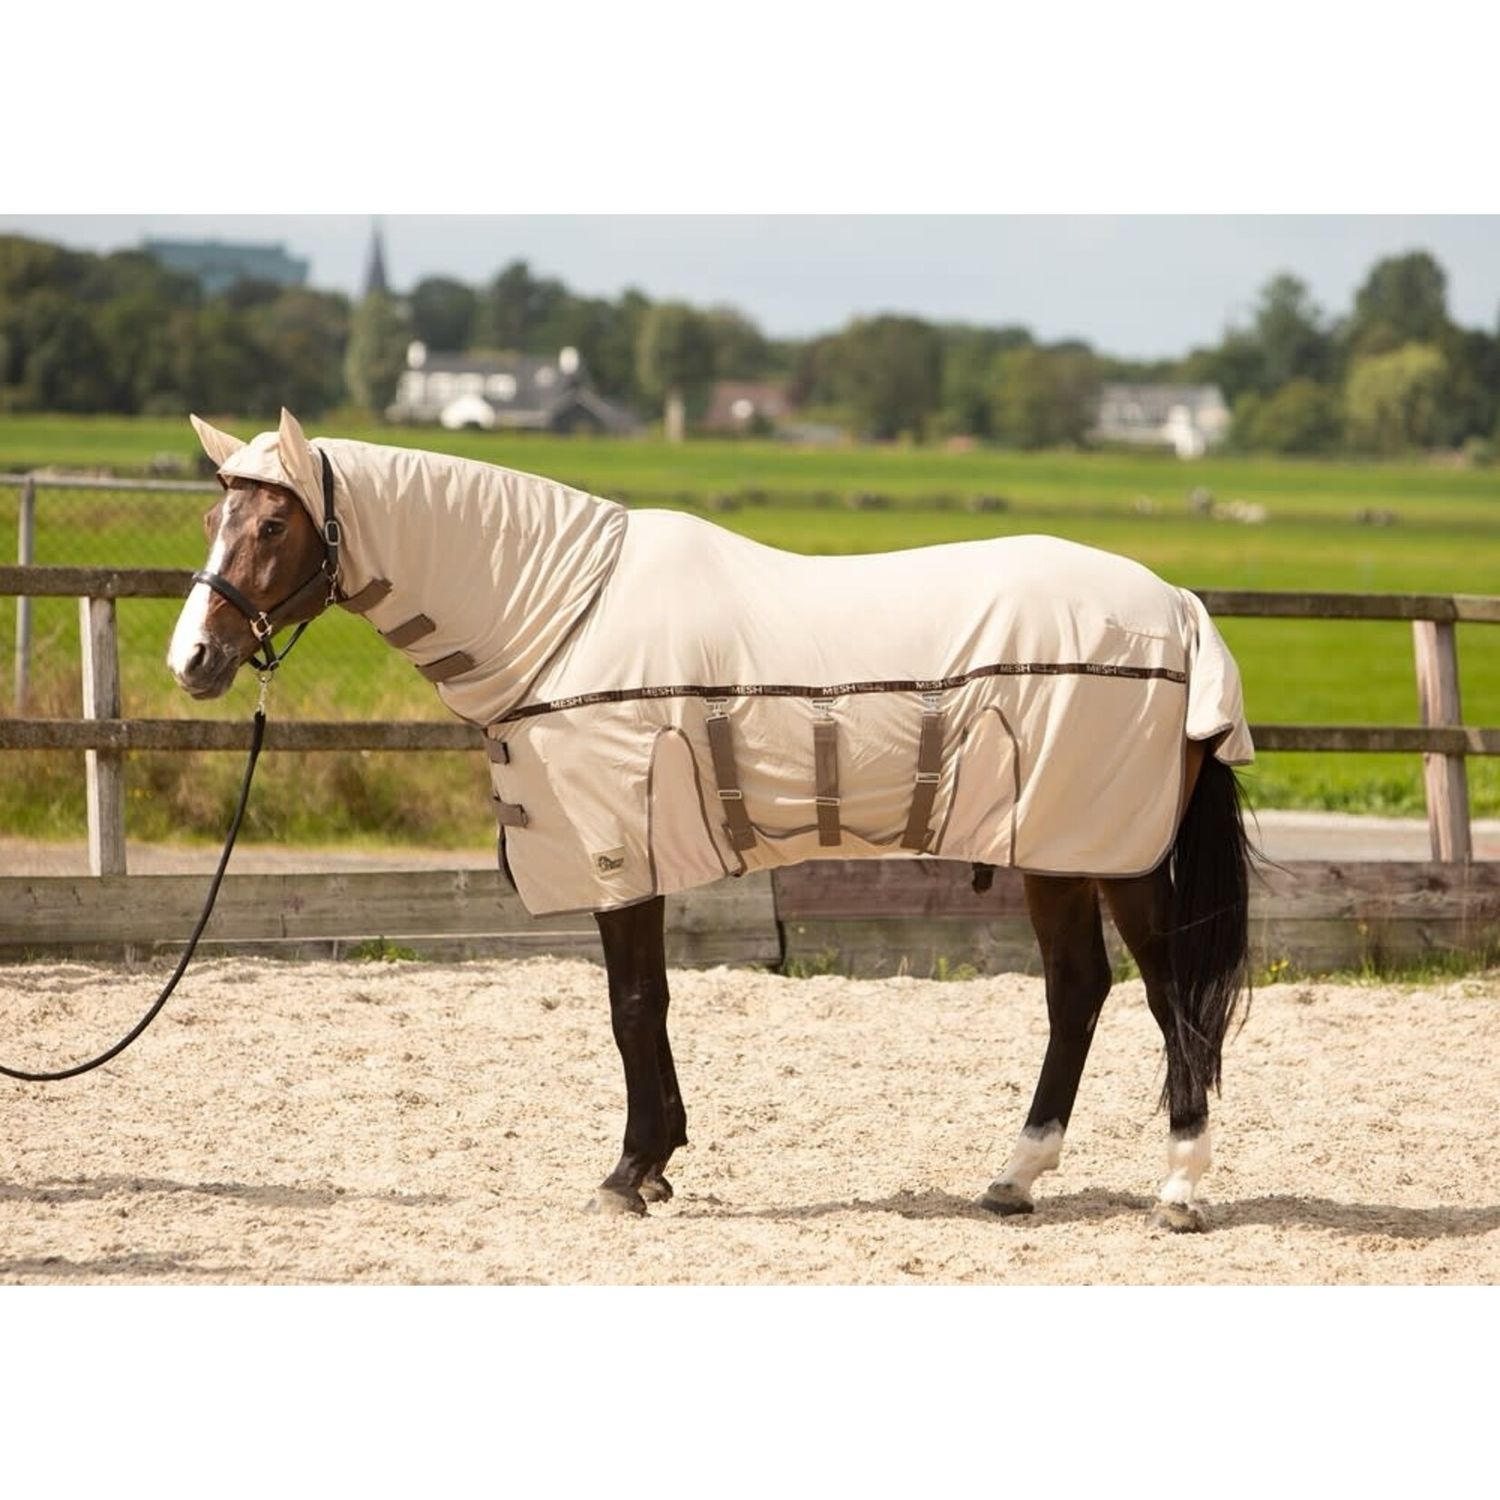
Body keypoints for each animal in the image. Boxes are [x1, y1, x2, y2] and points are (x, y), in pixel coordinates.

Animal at [168, 409, 1254, 1231]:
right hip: (1057, 853)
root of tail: (1179, 610)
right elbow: (651, 1006)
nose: (193, 660)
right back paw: (1015, 1179)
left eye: (272, 528)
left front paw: (627, 1173)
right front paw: (657, 1164)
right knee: (1079, 992)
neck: (565, 620)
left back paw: (1178, 1189)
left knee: (1171, 997)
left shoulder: (615, 851)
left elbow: (630, 1007)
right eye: (218, 515)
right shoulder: (635, 858)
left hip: (1114, 852)